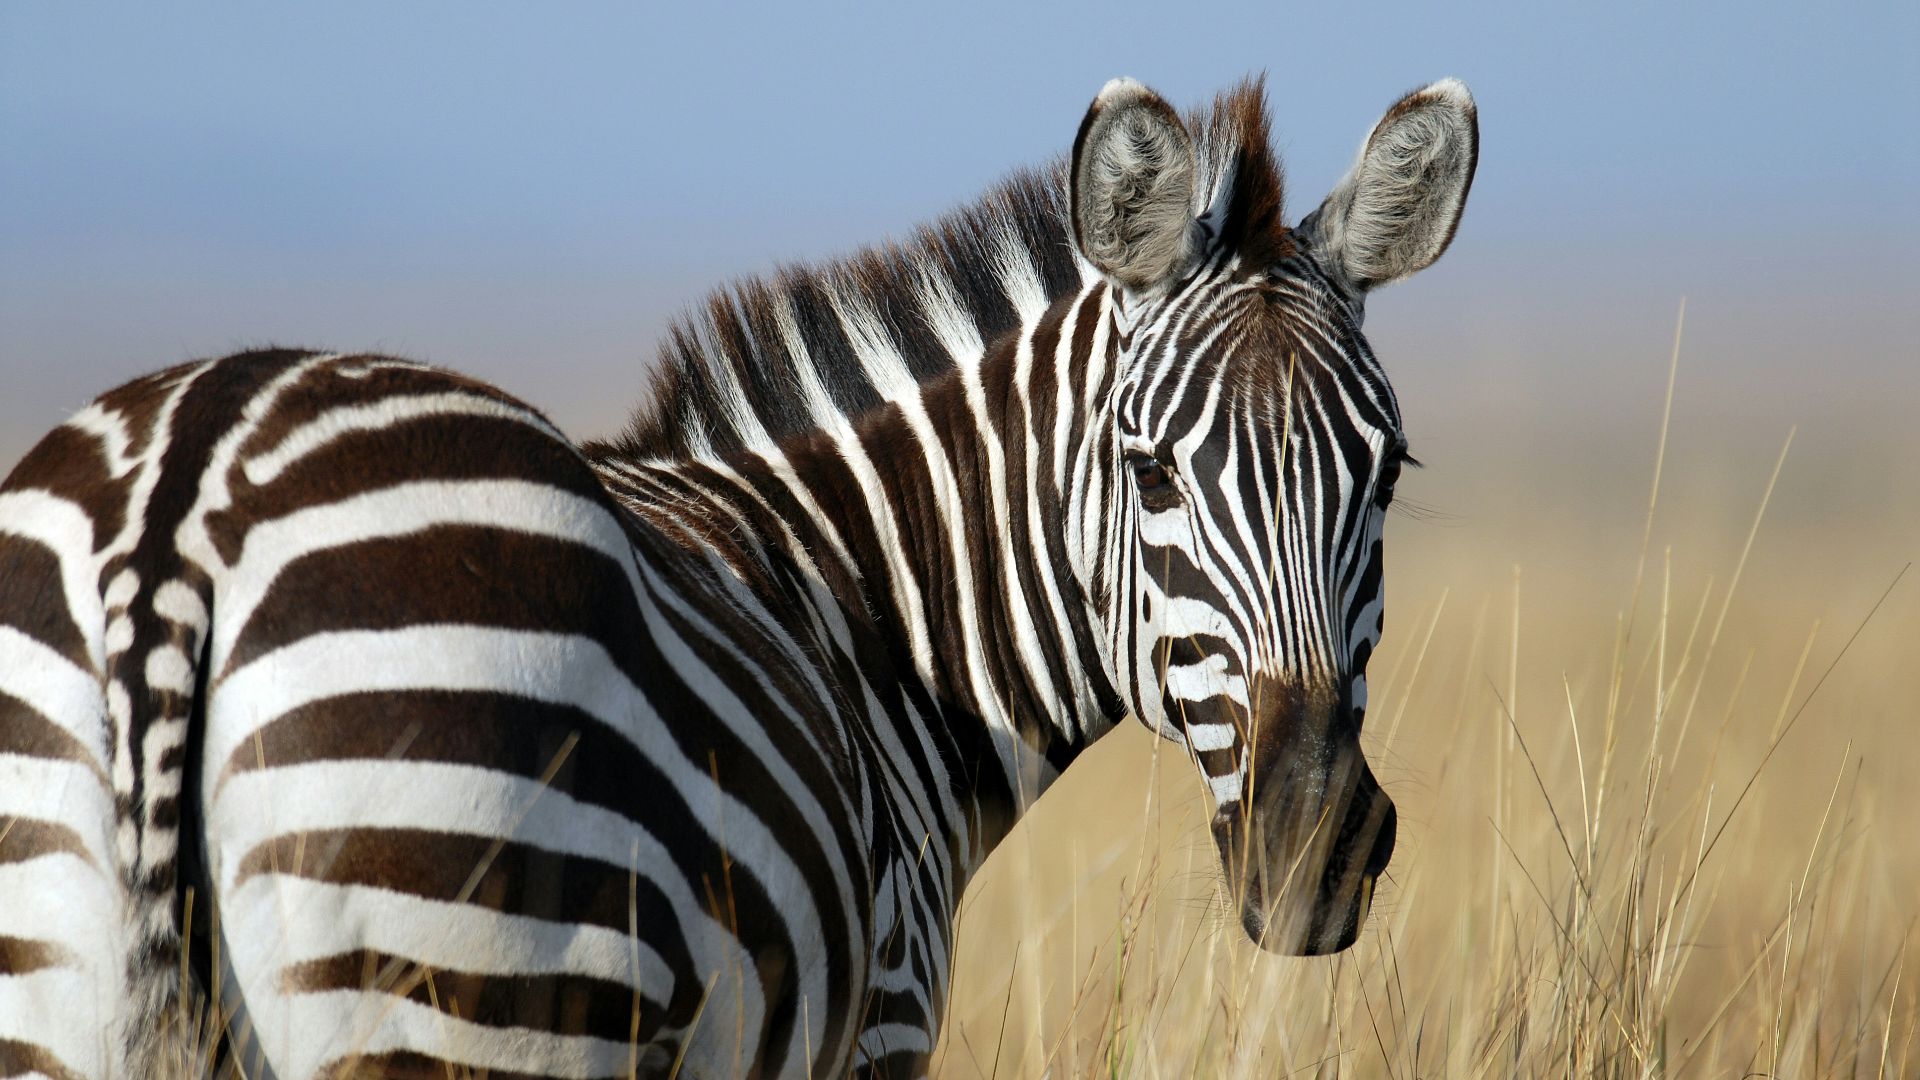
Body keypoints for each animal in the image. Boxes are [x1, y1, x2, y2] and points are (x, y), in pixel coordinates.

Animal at [0, 75, 1476, 1078]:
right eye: (1151, 472)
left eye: (1387, 473)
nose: (1315, 850)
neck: (878, 627)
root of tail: (182, 498)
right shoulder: (877, 1022)